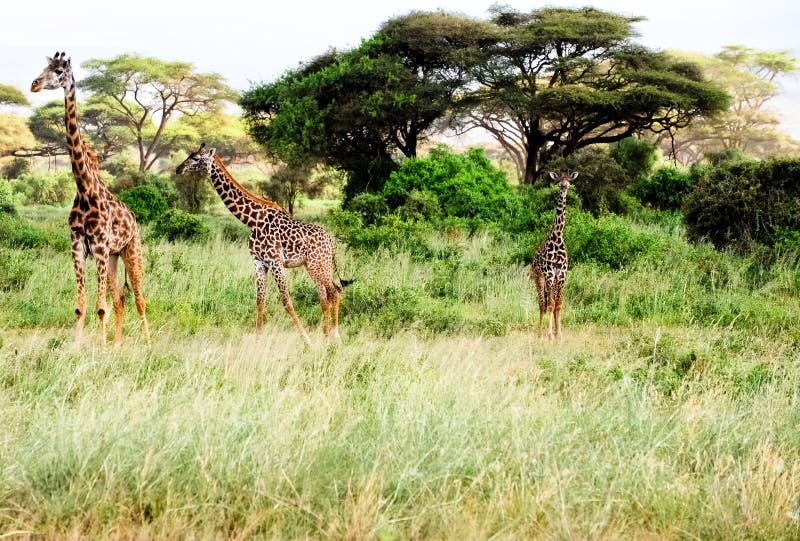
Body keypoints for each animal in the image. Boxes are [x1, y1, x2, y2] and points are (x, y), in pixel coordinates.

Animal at [30, 51, 150, 346]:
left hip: (131, 251)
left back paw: (148, 344)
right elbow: (81, 306)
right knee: (120, 298)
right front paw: (77, 348)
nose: (34, 84)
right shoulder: (78, 246)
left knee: (140, 299)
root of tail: (134, 220)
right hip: (114, 256)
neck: (84, 189)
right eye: (45, 66)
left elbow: (100, 307)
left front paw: (100, 349)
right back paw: (118, 344)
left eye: (59, 71)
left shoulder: (98, 247)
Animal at [177, 146, 352, 344]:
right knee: (325, 295)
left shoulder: (276, 262)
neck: (253, 221)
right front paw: (258, 338)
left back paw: (335, 336)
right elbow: (260, 301)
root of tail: (331, 241)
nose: (178, 169)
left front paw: (306, 339)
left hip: (318, 264)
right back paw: (325, 335)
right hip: (315, 265)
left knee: (334, 292)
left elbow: (286, 301)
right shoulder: (259, 262)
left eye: (196, 158)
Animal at [528, 170, 580, 338]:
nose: (564, 186)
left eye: (569, 180)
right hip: (538, 278)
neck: (557, 238)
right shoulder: (550, 273)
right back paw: (539, 334)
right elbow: (550, 304)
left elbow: (558, 304)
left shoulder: (562, 274)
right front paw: (550, 335)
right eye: (558, 181)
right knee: (541, 303)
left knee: (549, 302)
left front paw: (559, 334)